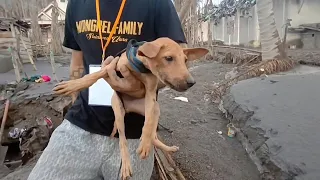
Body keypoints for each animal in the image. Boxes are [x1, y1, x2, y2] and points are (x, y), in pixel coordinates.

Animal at [53, 37, 209, 179]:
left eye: (185, 60)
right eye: (169, 58)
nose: (191, 82)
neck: (141, 67)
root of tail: (130, 108)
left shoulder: (150, 93)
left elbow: (148, 123)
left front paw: (145, 145)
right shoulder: (112, 66)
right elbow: (94, 75)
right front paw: (72, 85)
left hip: (155, 108)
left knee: (152, 133)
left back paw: (163, 146)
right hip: (119, 112)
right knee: (123, 140)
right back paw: (126, 166)